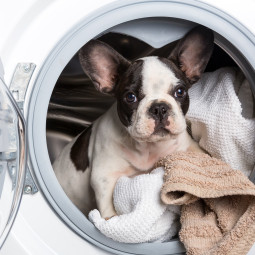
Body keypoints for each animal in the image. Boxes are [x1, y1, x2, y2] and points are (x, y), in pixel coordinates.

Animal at [53, 25, 213, 219]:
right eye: (130, 97)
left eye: (180, 91)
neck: (148, 148)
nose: (159, 107)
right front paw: (113, 221)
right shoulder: (105, 177)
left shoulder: (187, 147)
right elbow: (109, 210)